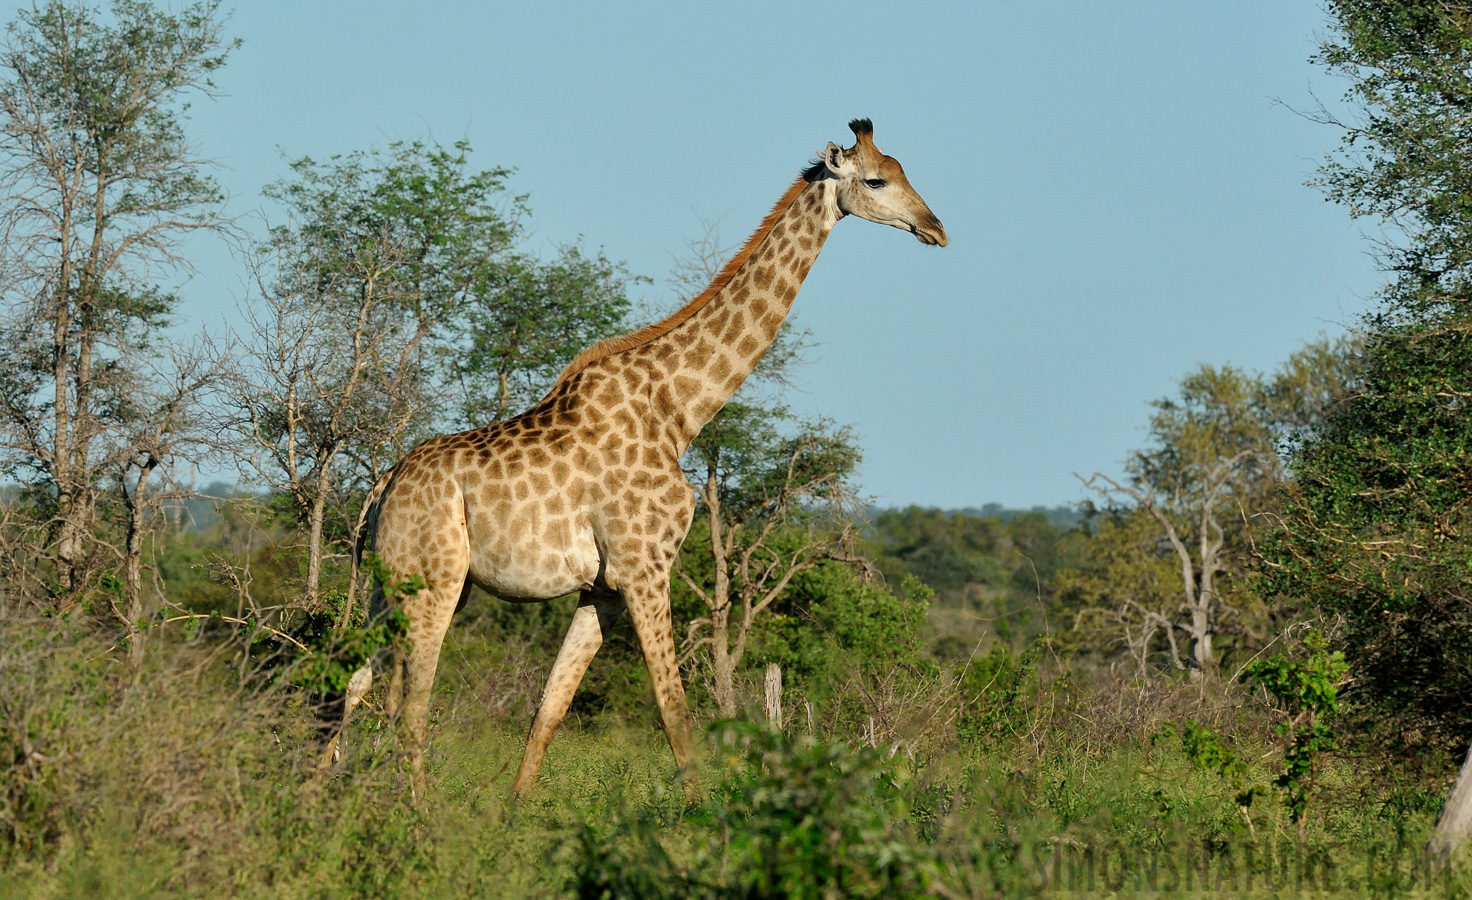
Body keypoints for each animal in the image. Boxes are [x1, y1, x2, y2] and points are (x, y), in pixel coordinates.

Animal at [347, 121, 942, 801]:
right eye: (875, 180)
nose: (935, 227)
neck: (680, 412)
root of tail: (382, 489)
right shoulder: (645, 567)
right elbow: (675, 710)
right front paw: (704, 822)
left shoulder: (602, 588)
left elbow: (549, 709)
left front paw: (512, 815)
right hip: (435, 580)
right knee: (410, 703)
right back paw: (416, 816)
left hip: (390, 582)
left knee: (356, 681)